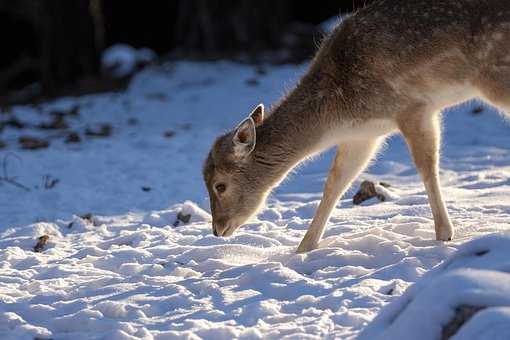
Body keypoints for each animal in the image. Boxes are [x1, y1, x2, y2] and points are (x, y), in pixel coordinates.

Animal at [203, 0, 510, 252]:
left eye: (220, 185)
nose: (217, 229)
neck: (340, 113)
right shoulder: (364, 135)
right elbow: (336, 180)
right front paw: (304, 248)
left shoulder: (413, 106)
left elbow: (427, 166)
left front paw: (444, 234)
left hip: (495, 76)